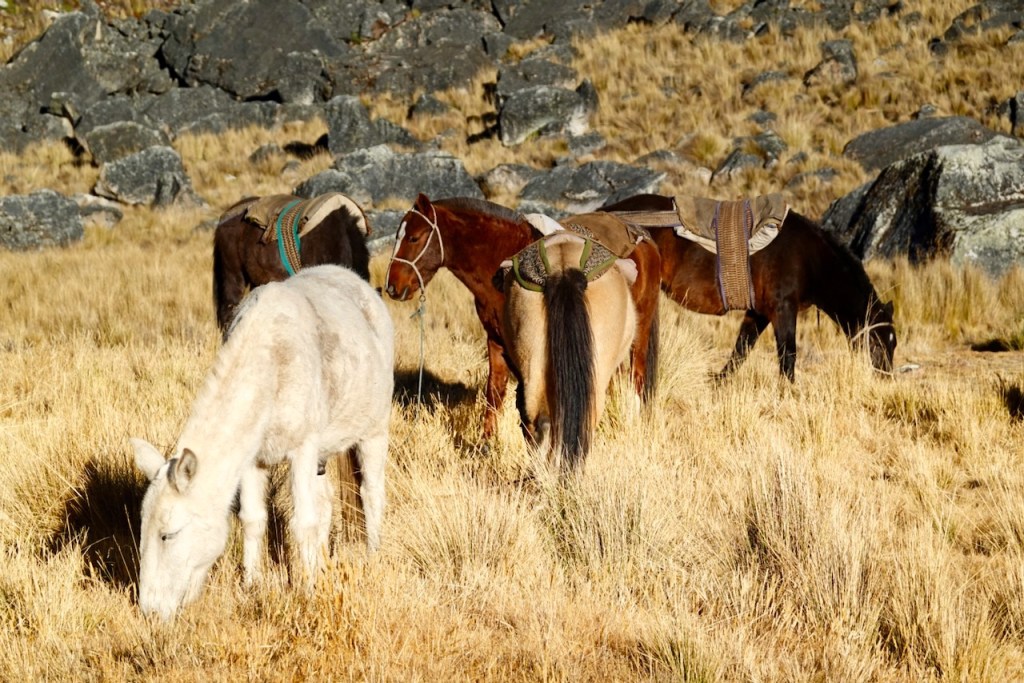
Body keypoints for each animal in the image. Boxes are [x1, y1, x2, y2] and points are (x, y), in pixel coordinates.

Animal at [131, 265, 394, 619]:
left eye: (167, 535)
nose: (150, 611)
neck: (270, 363)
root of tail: (352, 277)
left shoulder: (303, 449)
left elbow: (302, 522)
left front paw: (308, 592)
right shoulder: (252, 459)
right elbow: (253, 519)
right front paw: (252, 585)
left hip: (374, 429)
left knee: (371, 493)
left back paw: (372, 554)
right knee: (326, 502)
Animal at [384, 193, 660, 439]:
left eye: (414, 237)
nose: (392, 287)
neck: (500, 262)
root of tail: (645, 240)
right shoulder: (496, 339)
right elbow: (495, 390)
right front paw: (487, 442)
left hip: (639, 333)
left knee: (637, 376)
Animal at [602, 194, 896, 381]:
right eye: (877, 341)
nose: (885, 377)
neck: (810, 258)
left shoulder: (759, 313)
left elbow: (741, 350)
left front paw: (718, 381)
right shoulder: (783, 310)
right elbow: (787, 357)